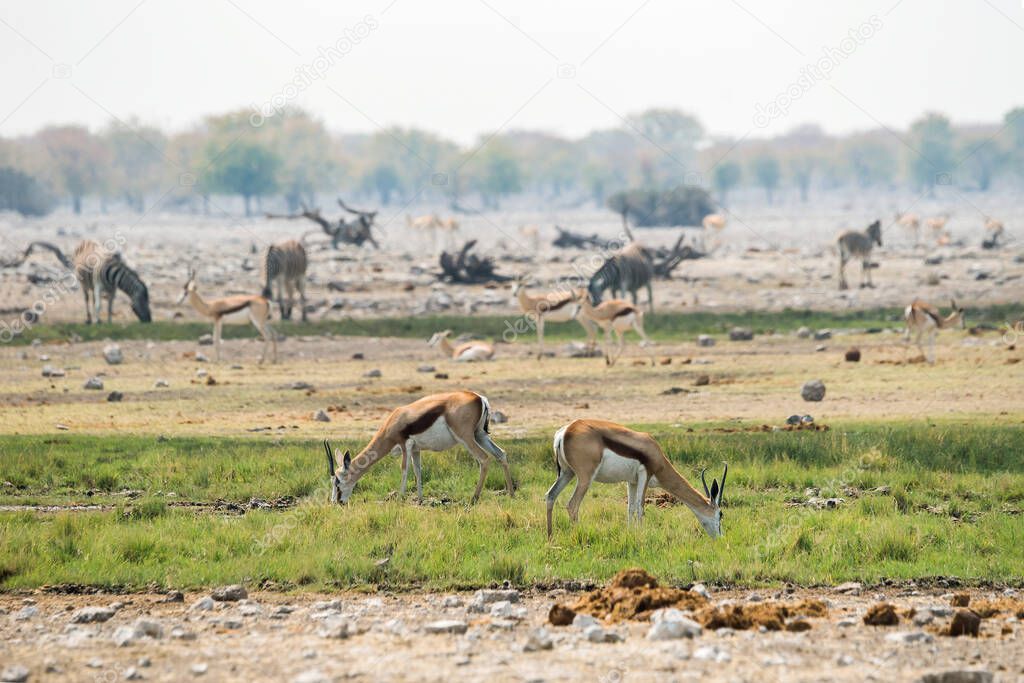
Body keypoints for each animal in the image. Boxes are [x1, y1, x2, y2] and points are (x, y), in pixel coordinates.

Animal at [321, 389, 512, 501]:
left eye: (337, 482)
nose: (336, 502)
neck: (394, 421)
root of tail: (480, 398)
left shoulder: (405, 444)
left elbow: (404, 469)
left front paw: (400, 498)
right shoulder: (416, 450)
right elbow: (418, 470)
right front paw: (419, 499)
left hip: (466, 438)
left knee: (484, 459)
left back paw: (474, 498)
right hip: (480, 435)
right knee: (501, 454)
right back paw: (511, 493)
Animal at [548, 421, 724, 540]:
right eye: (720, 514)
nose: (720, 538)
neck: (655, 452)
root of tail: (565, 431)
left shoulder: (631, 481)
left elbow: (630, 507)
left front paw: (631, 533)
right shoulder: (645, 474)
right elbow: (640, 507)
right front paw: (641, 536)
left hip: (566, 473)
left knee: (550, 496)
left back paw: (550, 536)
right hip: (585, 478)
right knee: (572, 505)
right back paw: (578, 535)